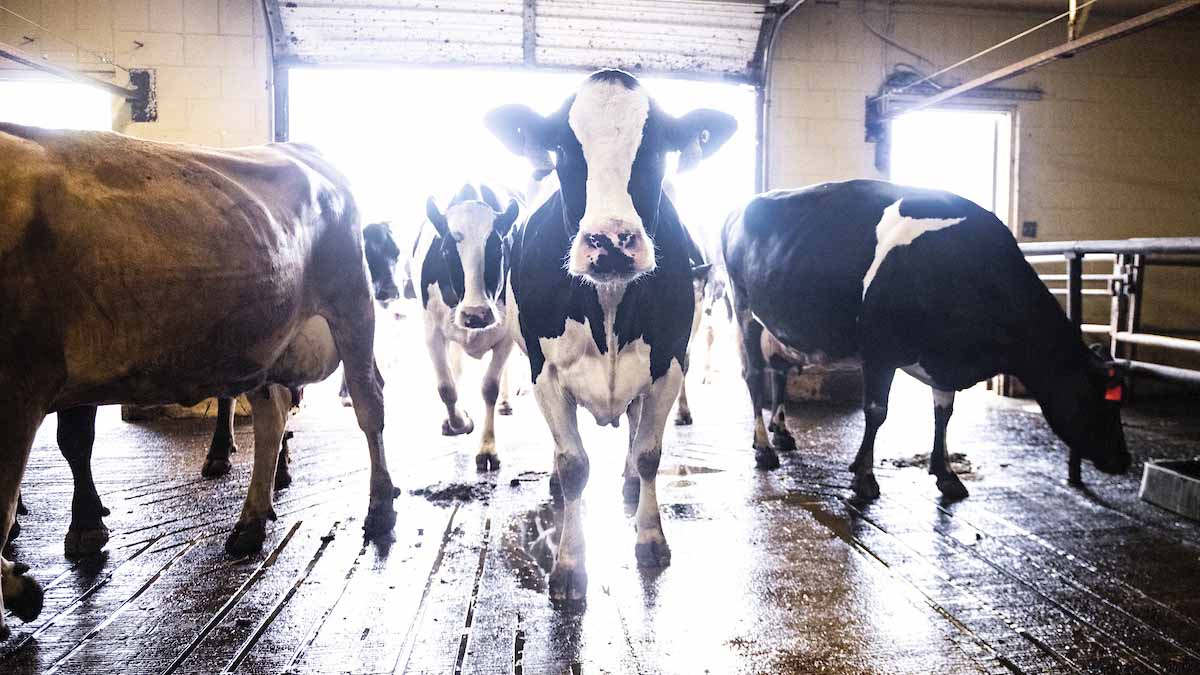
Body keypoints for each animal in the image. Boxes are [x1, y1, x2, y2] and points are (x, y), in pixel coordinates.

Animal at [1, 123, 403, 638]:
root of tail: (300, 148)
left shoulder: (19, 387)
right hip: (261, 337)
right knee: (273, 416)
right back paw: (251, 522)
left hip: (351, 301)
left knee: (370, 402)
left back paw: (380, 505)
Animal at [417, 181, 520, 470]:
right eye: (445, 251)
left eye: (498, 248)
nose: (476, 314)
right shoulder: (432, 330)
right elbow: (446, 387)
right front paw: (459, 422)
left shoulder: (507, 334)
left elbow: (489, 387)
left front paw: (487, 449)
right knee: (456, 368)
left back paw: (506, 402)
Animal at [484, 70, 729, 600]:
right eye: (563, 148)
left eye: (656, 149)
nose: (611, 240)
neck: (611, 302)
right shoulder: (545, 373)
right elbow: (574, 465)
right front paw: (570, 565)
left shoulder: (668, 365)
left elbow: (650, 453)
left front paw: (650, 538)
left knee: (635, 431)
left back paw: (631, 485)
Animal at [720, 178, 1132, 499]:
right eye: (1100, 398)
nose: (1124, 460)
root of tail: (739, 207)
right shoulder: (880, 350)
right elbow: (877, 412)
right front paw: (864, 476)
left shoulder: (943, 356)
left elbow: (943, 413)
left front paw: (945, 473)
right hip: (744, 310)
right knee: (754, 375)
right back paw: (764, 449)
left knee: (778, 371)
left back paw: (779, 434)